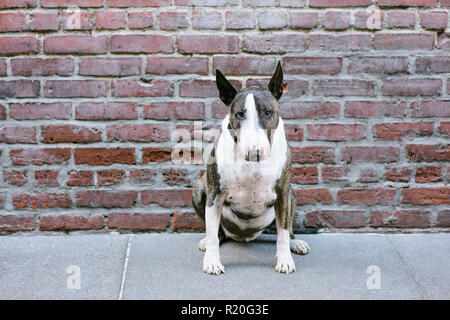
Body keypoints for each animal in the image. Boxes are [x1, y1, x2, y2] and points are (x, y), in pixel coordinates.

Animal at [193, 62, 310, 276]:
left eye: (268, 112)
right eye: (240, 114)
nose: (255, 153)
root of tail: (244, 236)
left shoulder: (282, 193)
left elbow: (282, 231)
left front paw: (284, 260)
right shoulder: (215, 193)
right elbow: (212, 231)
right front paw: (212, 262)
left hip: (292, 194)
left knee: (287, 228)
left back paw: (295, 242)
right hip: (198, 189)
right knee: (217, 232)